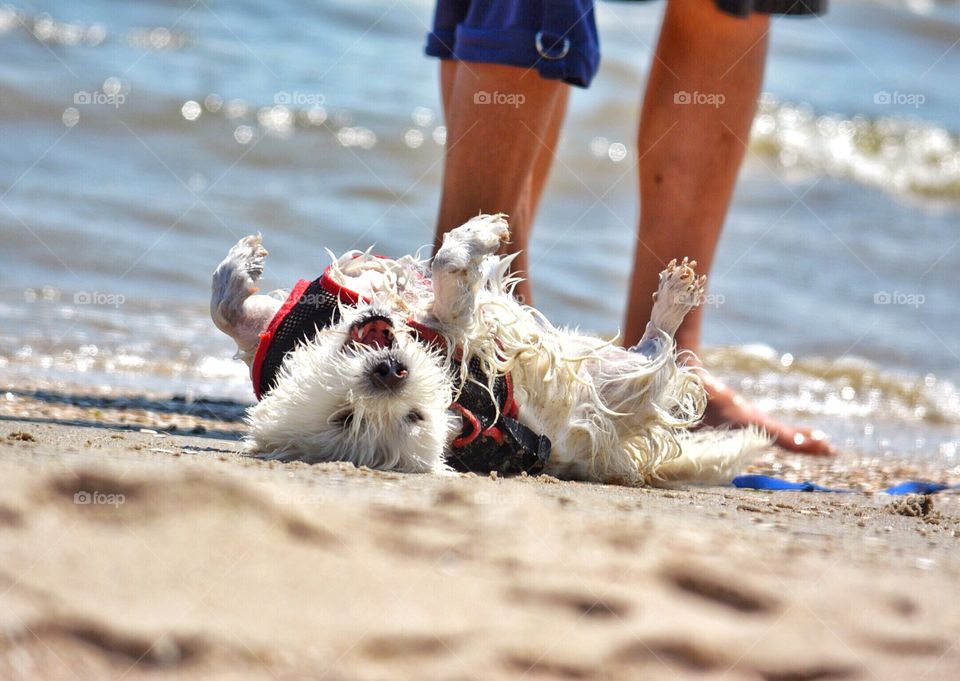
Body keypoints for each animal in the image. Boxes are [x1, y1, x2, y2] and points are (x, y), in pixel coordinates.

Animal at [210, 212, 764, 484]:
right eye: (347, 418)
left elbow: (226, 310)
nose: (389, 372)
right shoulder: (464, 331)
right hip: (614, 384)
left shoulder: (281, 325)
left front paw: (241, 261)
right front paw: (480, 234)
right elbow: (450, 269)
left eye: (414, 415)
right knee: (656, 354)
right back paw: (673, 300)